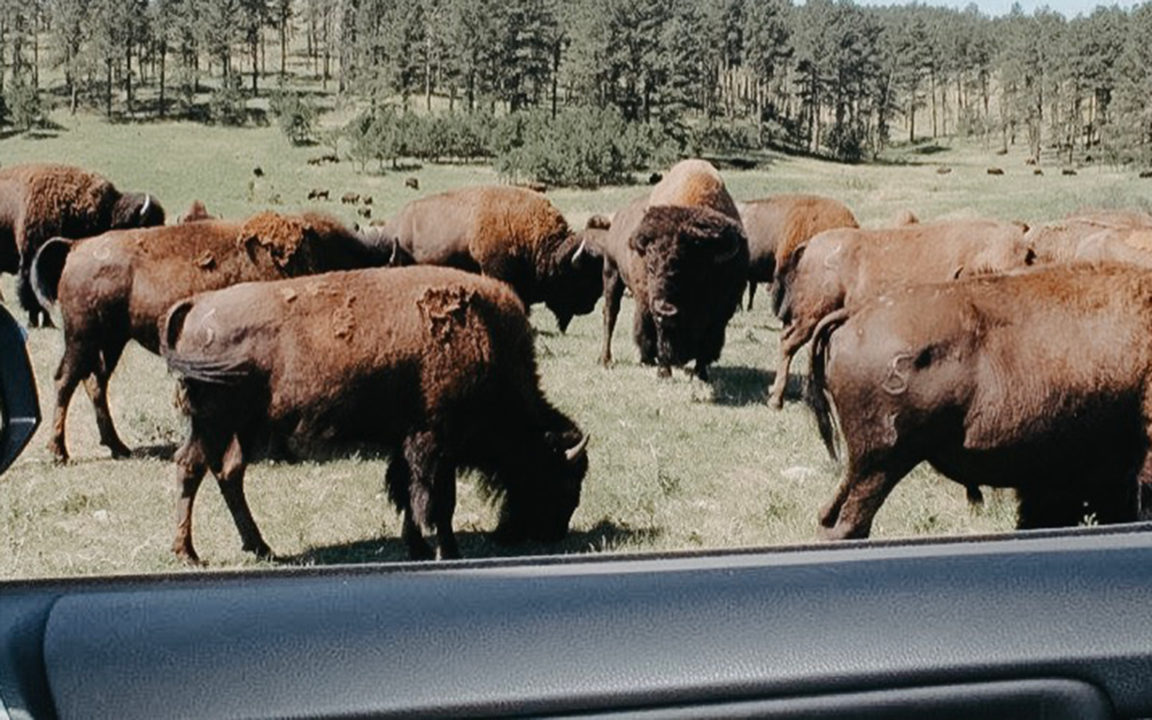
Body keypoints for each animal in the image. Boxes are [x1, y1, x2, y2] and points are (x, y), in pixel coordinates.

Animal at [30, 210, 391, 463]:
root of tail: (76, 245)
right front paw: (280, 451)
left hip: (110, 341)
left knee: (95, 383)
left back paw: (118, 446)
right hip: (83, 338)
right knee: (65, 381)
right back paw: (60, 452)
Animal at [162, 263, 589, 562]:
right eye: (562, 477)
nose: (553, 533)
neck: (486, 338)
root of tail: (198, 304)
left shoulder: (409, 443)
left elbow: (407, 495)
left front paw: (418, 547)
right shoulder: (436, 443)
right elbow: (438, 501)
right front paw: (447, 552)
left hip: (241, 425)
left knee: (228, 473)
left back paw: (260, 546)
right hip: (214, 422)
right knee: (191, 468)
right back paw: (189, 554)